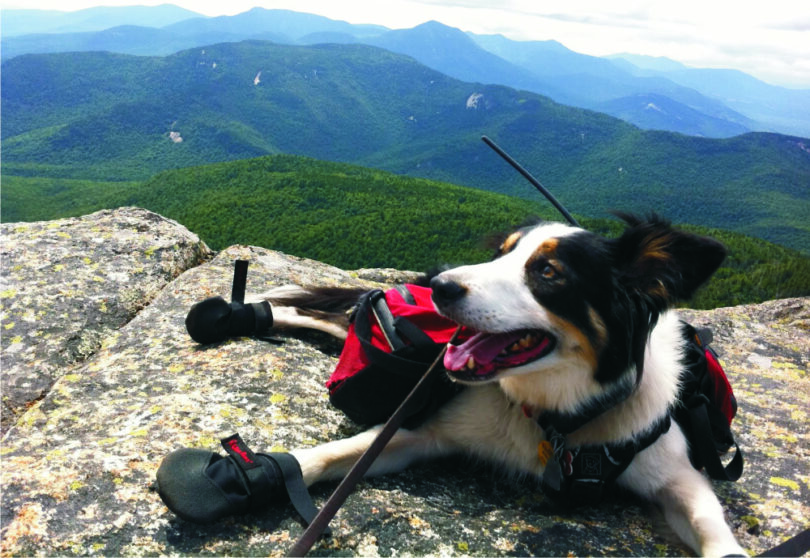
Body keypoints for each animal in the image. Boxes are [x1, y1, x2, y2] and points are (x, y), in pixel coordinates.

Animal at [258, 215, 744, 558]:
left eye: (548, 270)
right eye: (501, 254)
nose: (442, 286)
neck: (555, 414)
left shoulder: (675, 470)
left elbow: (709, 521)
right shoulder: (426, 431)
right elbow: (332, 454)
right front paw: (261, 473)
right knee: (317, 310)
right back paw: (259, 311)